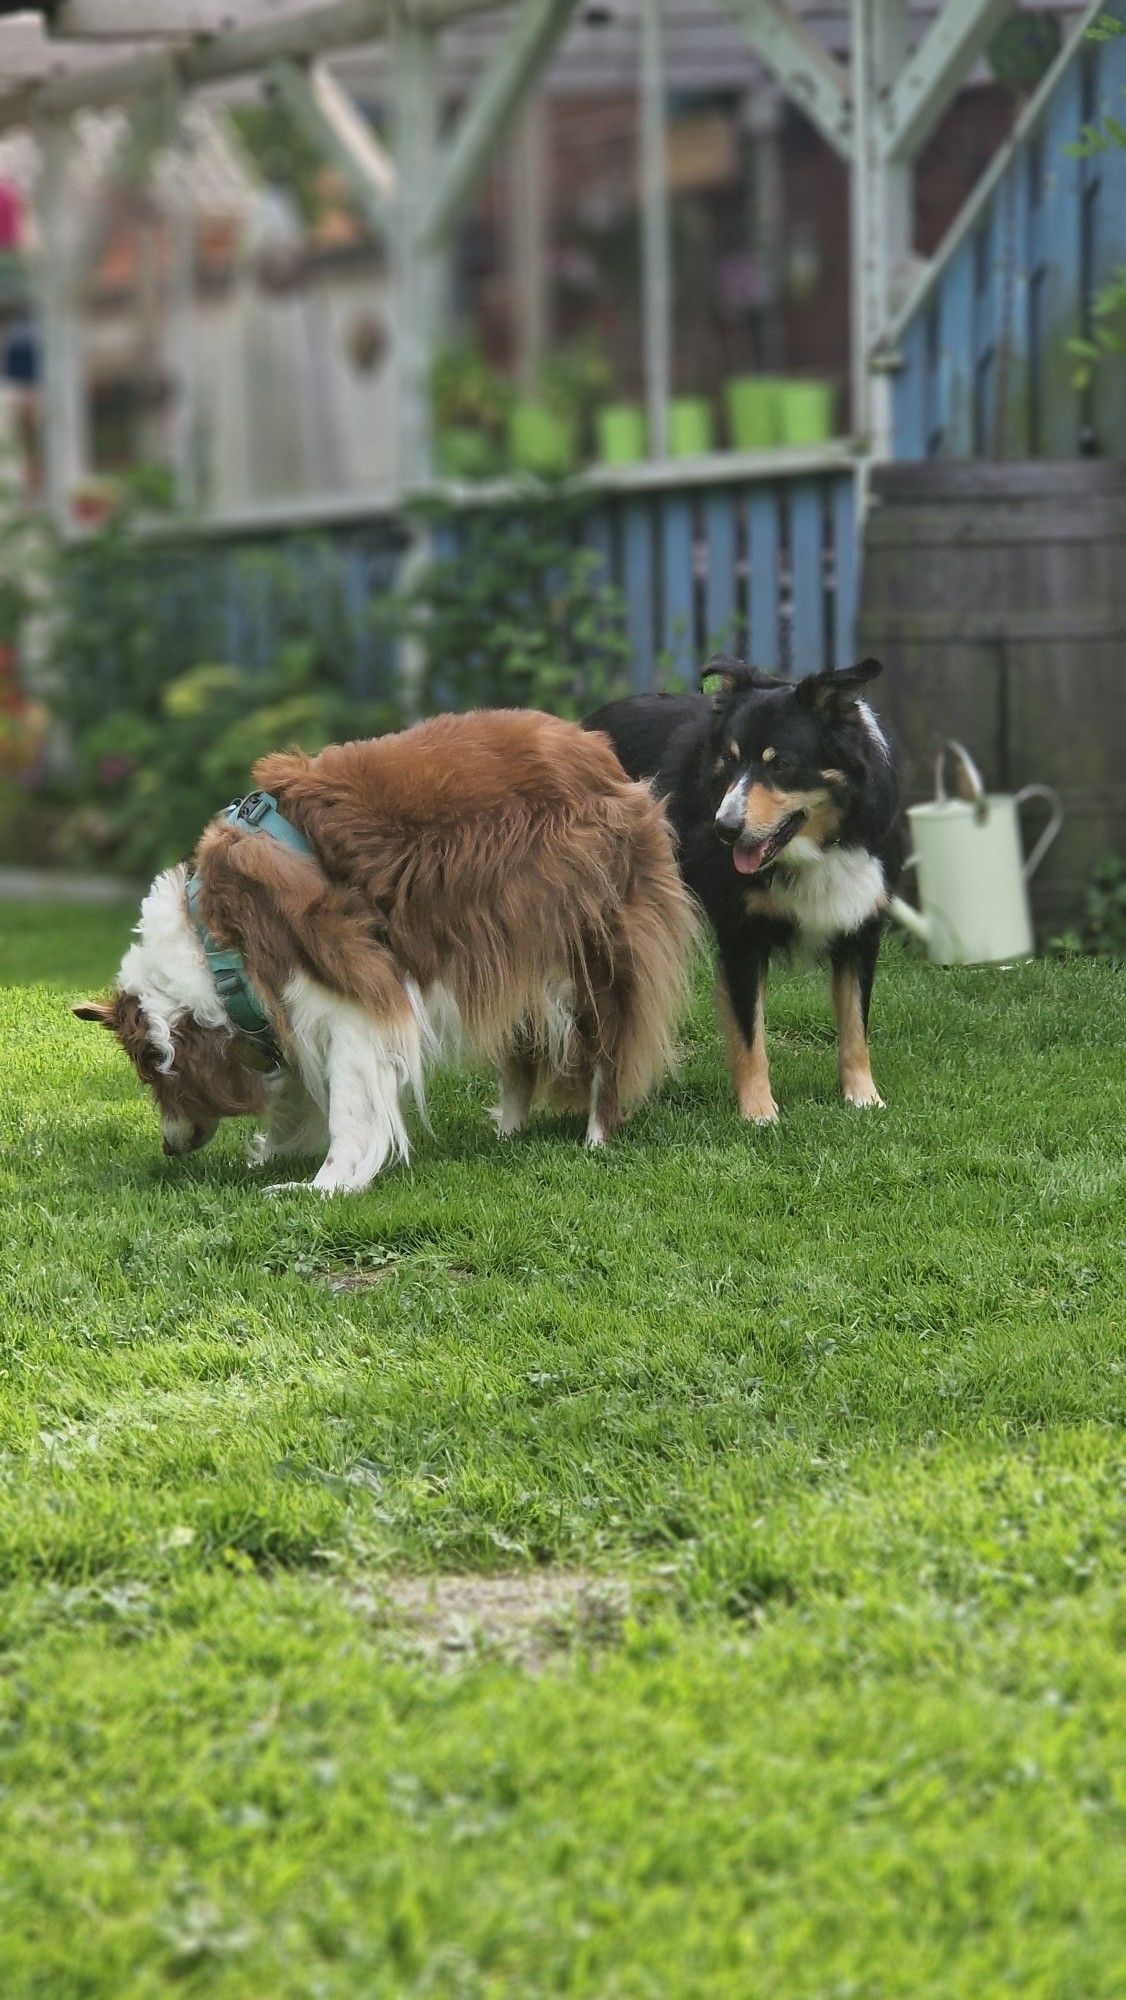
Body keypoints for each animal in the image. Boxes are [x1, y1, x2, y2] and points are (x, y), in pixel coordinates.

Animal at [75, 716, 696, 1192]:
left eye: (151, 1077)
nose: (169, 1147)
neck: (213, 948)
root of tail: (601, 754)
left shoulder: (353, 993)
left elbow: (348, 1102)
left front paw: (323, 1184)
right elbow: (298, 1085)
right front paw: (276, 1152)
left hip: (592, 947)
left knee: (611, 1043)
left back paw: (596, 1137)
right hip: (512, 950)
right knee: (522, 1053)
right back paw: (507, 1132)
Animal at [592, 656, 908, 1128]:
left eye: (781, 765)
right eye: (729, 759)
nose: (724, 829)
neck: (823, 845)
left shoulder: (861, 928)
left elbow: (855, 1024)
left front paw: (863, 1099)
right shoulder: (741, 937)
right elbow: (749, 1033)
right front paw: (759, 1113)